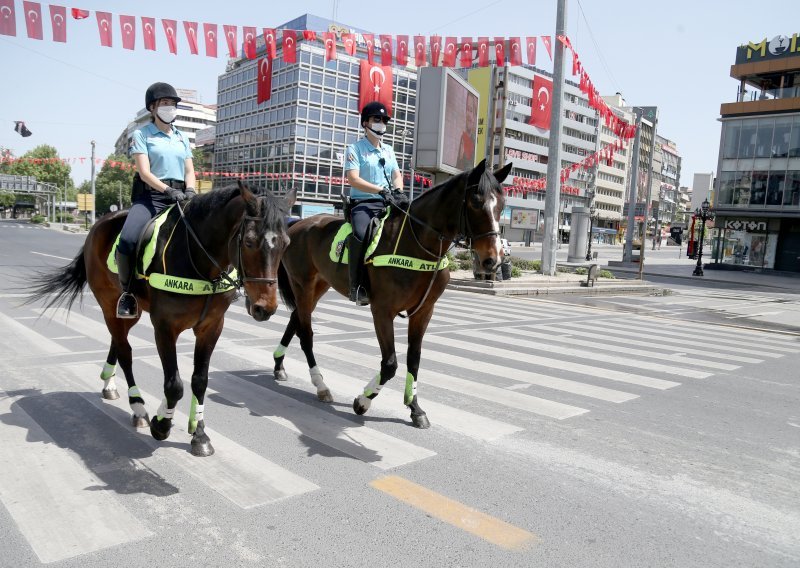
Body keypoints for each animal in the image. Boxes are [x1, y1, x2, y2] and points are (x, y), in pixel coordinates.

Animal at [28, 182, 298, 458]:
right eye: (250, 242)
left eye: (287, 243)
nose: (265, 308)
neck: (199, 259)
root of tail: (99, 223)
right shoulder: (165, 327)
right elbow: (174, 384)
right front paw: (162, 424)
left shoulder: (212, 327)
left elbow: (200, 381)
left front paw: (199, 432)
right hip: (109, 304)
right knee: (125, 352)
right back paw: (137, 407)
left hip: (131, 311)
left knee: (117, 341)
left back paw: (109, 383)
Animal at [276, 160, 510, 426]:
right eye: (475, 202)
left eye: (502, 205)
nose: (493, 260)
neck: (417, 242)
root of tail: (298, 223)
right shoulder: (382, 311)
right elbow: (390, 364)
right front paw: (363, 401)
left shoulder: (423, 312)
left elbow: (413, 360)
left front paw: (415, 408)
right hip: (302, 286)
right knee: (305, 334)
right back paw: (320, 385)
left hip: (318, 286)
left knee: (295, 320)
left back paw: (278, 365)